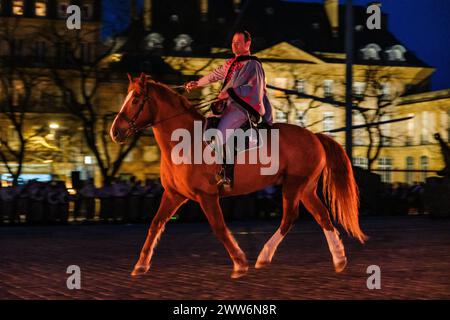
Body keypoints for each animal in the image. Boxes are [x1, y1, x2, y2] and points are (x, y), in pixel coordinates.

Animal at [110, 74, 368, 278]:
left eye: (135, 99)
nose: (115, 132)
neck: (184, 140)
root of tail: (315, 136)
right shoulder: (173, 195)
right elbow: (155, 225)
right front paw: (140, 265)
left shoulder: (207, 196)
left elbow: (219, 228)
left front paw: (240, 263)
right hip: (306, 189)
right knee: (322, 216)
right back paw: (339, 259)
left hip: (294, 186)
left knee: (289, 218)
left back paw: (263, 256)